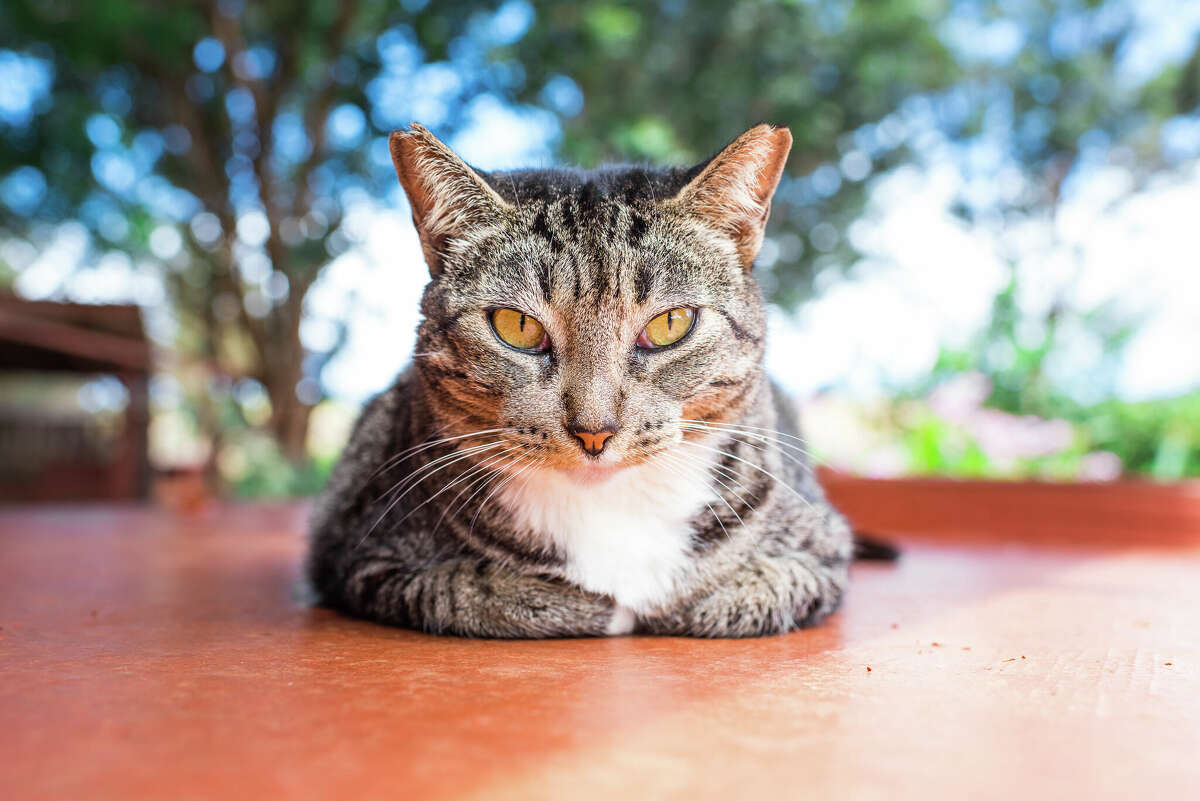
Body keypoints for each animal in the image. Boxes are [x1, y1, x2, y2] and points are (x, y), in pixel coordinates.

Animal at [304, 122, 859, 633]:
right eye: (517, 326)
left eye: (670, 324)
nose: (595, 430)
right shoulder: (357, 546)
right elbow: (467, 590)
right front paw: (586, 604)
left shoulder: (822, 548)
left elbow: (739, 594)